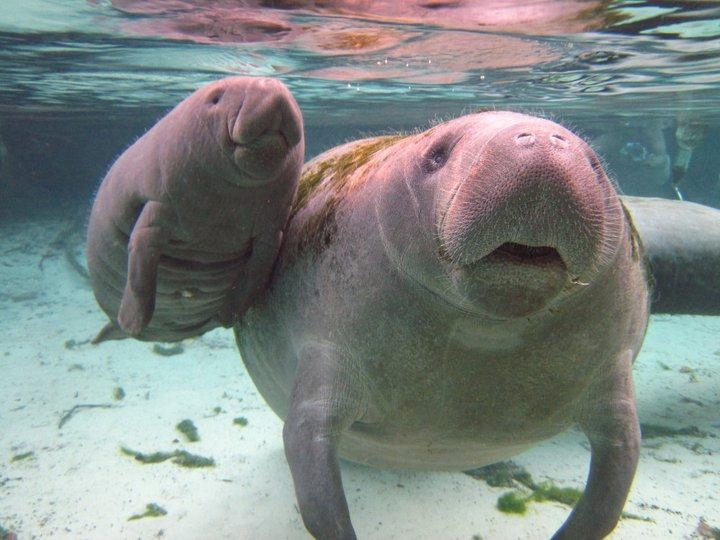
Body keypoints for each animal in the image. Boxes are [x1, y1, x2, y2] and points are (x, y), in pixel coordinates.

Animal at [86, 76, 302, 342]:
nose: (271, 84)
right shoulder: (157, 207)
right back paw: (114, 331)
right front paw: (132, 324)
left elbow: (257, 271)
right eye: (216, 98)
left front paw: (228, 315)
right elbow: (140, 268)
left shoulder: (271, 231)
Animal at [238, 112, 652, 536]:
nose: (541, 140)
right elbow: (312, 458)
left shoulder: (611, 366)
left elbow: (614, 476)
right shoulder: (328, 344)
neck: (488, 329)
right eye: (438, 156)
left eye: (596, 165)